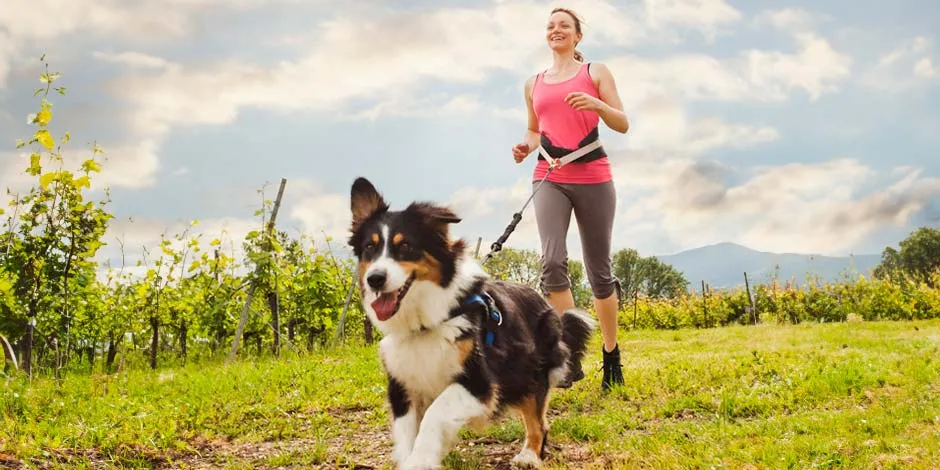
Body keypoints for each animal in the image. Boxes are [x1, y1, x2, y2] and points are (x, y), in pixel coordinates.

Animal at [346, 178, 596, 468]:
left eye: (405, 245)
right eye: (370, 248)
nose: (374, 279)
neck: (425, 322)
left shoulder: (479, 383)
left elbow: (434, 414)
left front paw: (420, 460)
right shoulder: (402, 384)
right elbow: (407, 431)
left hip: (528, 371)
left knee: (538, 422)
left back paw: (529, 455)